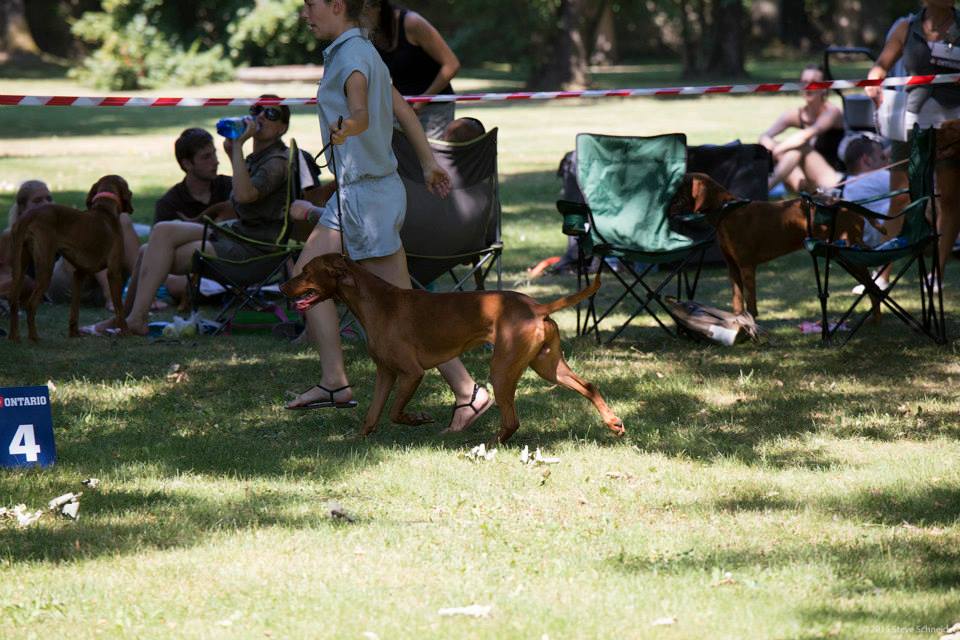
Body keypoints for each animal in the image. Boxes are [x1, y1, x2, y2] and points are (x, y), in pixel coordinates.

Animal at [8, 175, 133, 340]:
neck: (105, 210)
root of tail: (28, 216)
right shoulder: (114, 272)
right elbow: (120, 308)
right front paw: (125, 331)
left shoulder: (78, 274)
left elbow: (75, 308)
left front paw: (74, 333)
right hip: (45, 269)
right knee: (31, 304)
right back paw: (34, 338)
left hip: (19, 268)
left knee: (14, 302)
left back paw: (14, 337)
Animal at [280, 252, 624, 442]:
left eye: (306, 271)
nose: (282, 286)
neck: (375, 301)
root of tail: (536, 306)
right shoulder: (385, 373)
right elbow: (372, 415)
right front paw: (356, 439)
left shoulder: (412, 373)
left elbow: (394, 412)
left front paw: (418, 419)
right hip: (548, 368)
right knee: (589, 386)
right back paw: (613, 422)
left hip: (502, 370)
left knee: (512, 420)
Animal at [672, 172, 880, 318]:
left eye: (680, 182)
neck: (727, 211)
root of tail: (848, 205)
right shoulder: (732, 267)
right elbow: (737, 300)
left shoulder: (747, 266)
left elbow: (751, 302)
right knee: (872, 288)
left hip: (851, 254)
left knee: (874, 289)